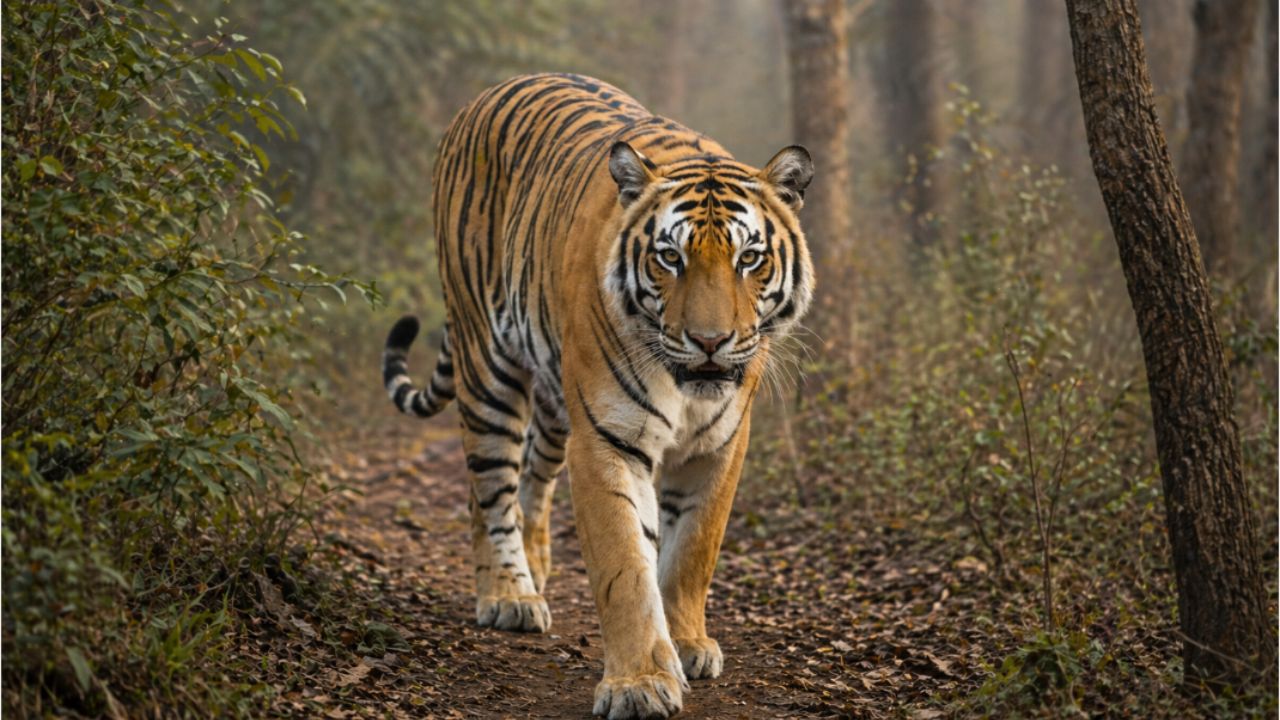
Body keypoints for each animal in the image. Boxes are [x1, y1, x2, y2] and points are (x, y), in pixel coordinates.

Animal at [381, 73, 814, 719]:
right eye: (670, 258)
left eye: (749, 259)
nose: (710, 342)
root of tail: (487, 94)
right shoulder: (608, 440)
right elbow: (625, 568)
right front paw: (639, 683)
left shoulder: (720, 446)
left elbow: (691, 553)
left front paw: (687, 644)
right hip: (486, 364)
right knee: (489, 487)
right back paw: (509, 594)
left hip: (555, 399)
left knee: (531, 476)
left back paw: (535, 566)